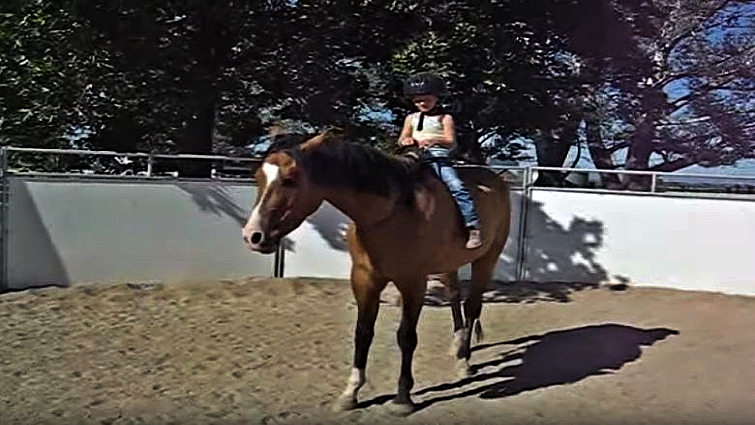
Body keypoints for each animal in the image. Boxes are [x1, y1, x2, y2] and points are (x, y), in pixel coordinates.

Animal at [242, 128, 512, 416]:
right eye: (258, 176)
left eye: (290, 179)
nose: (253, 236)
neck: (391, 211)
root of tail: (497, 180)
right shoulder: (364, 279)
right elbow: (362, 333)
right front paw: (350, 393)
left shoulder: (413, 282)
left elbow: (406, 337)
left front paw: (402, 398)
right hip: (448, 264)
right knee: (454, 297)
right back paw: (457, 348)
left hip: (487, 258)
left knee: (472, 307)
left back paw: (464, 363)